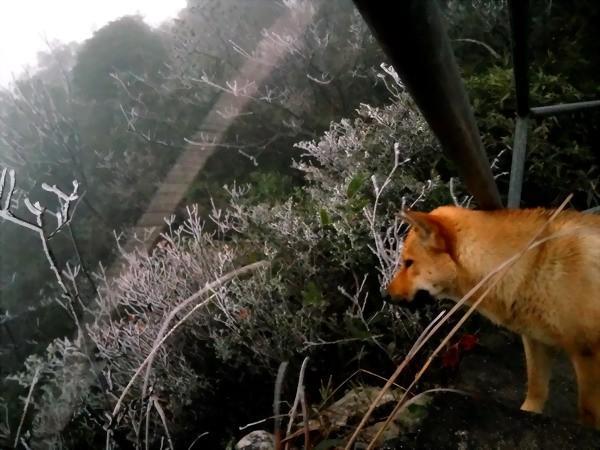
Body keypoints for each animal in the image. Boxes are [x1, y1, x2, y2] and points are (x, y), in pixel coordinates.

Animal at [390, 206, 600, 428]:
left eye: (408, 263)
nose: (384, 294)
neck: (532, 263)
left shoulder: (586, 354)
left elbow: (588, 413)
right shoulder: (537, 342)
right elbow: (536, 391)